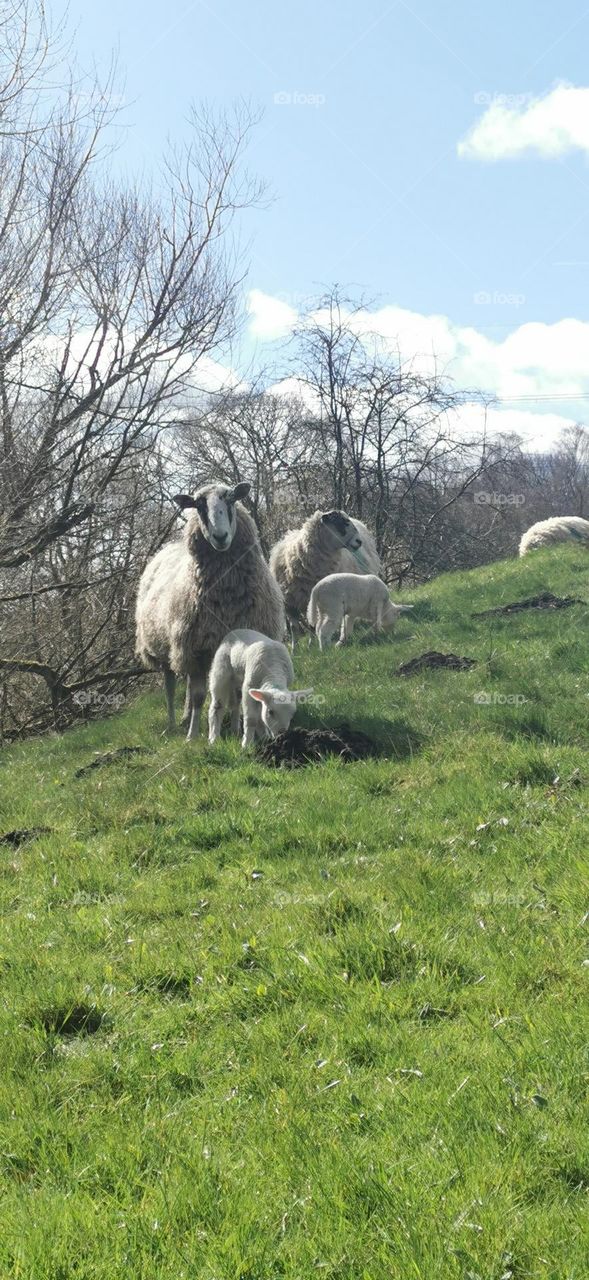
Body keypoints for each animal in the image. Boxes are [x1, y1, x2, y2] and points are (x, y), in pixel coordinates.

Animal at [135, 481, 286, 740]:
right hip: (165, 648)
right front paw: (193, 736)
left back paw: (186, 718)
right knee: (170, 684)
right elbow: (198, 696)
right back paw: (174, 723)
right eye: (199, 505)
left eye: (231, 499)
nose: (220, 536)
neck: (226, 599)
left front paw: (236, 729)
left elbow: (237, 695)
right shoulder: (198, 648)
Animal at [269, 510, 381, 640]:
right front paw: (295, 645)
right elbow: (294, 629)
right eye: (342, 522)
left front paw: (312, 643)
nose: (359, 541)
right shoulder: (290, 604)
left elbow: (312, 626)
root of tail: (360, 523)